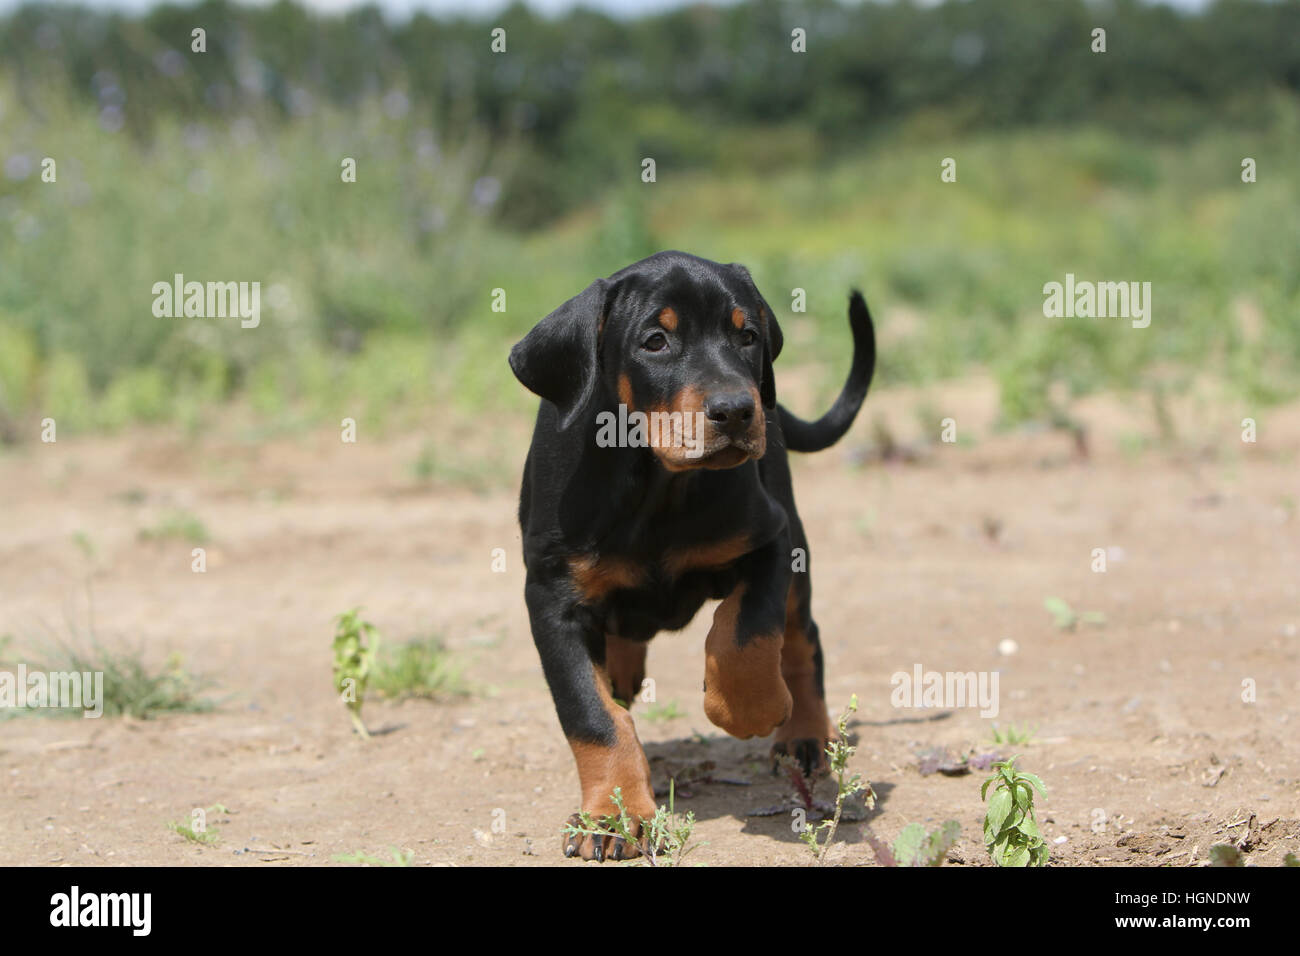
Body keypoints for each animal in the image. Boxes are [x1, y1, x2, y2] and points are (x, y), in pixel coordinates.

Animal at [506, 251, 873, 863]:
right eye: (655, 341)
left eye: (747, 335)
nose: (738, 410)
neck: (656, 485)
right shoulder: (551, 596)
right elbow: (592, 714)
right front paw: (611, 817)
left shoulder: (770, 540)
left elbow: (746, 634)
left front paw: (749, 708)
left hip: (795, 541)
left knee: (802, 638)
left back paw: (803, 733)